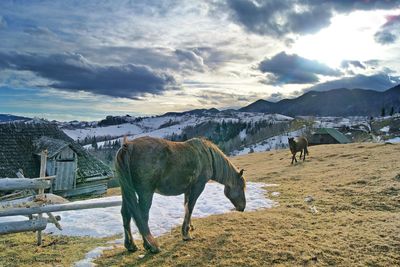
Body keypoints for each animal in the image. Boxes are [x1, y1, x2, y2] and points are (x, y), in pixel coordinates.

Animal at [115, 137, 247, 254]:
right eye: (241, 187)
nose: (243, 208)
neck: (208, 156)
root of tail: (128, 146)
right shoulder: (197, 187)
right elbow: (190, 207)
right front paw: (186, 234)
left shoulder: (188, 190)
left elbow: (186, 207)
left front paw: (190, 227)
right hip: (145, 193)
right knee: (142, 216)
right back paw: (151, 246)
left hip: (126, 191)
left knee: (126, 214)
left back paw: (131, 245)